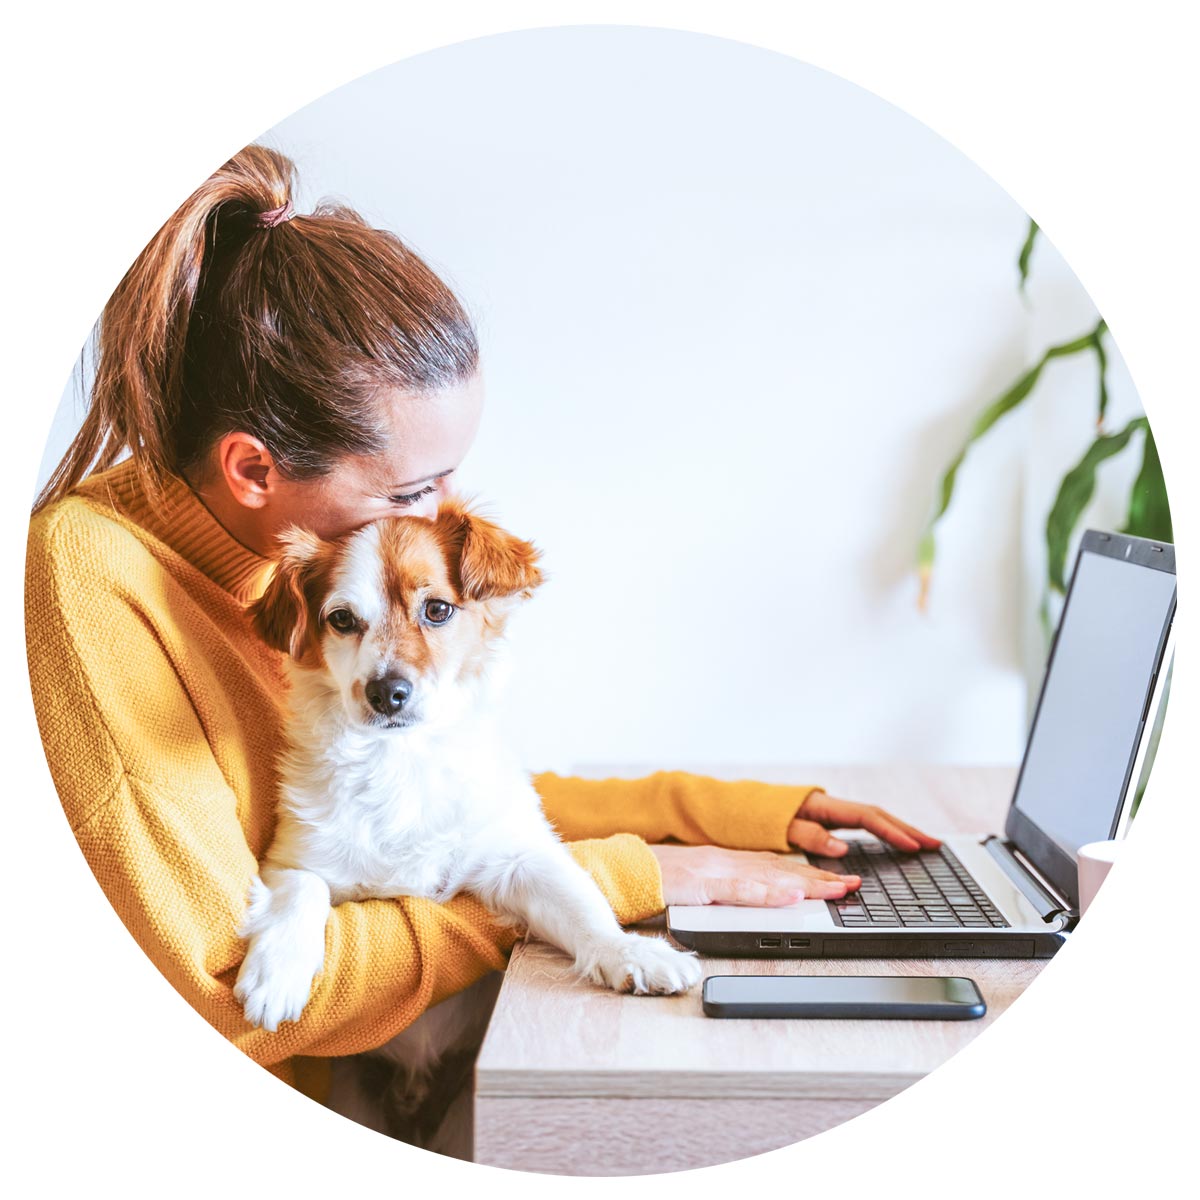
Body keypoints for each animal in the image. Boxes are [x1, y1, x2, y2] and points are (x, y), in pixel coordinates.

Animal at [234, 492, 700, 1118]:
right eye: (342, 620)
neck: (400, 764)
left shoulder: (518, 858)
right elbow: (300, 893)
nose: (387, 693)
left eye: (437, 610)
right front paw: (277, 973)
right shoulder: (291, 860)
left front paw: (632, 953)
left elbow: (583, 905)